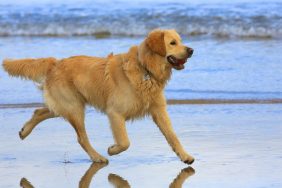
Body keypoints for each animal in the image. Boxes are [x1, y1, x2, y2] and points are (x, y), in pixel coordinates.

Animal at [2, 28, 194, 164]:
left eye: (181, 41)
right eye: (172, 43)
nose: (191, 50)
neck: (145, 69)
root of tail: (55, 63)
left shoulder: (158, 110)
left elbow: (173, 136)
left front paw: (185, 156)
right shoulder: (115, 112)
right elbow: (125, 142)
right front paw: (112, 149)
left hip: (67, 105)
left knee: (40, 111)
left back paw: (24, 131)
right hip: (74, 108)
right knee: (81, 138)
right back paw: (97, 157)